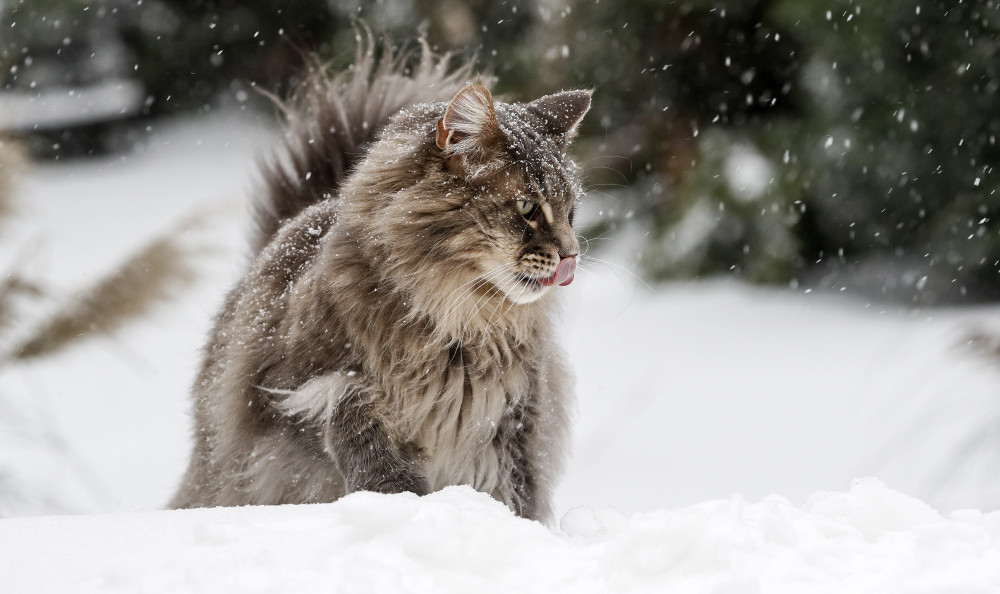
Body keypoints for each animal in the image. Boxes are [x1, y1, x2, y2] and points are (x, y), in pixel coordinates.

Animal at [170, 41, 592, 520]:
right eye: (526, 208)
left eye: (571, 212)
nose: (572, 255)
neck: (457, 325)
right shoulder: (290, 387)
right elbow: (350, 404)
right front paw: (396, 495)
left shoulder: (514, 422)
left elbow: (513, 495)